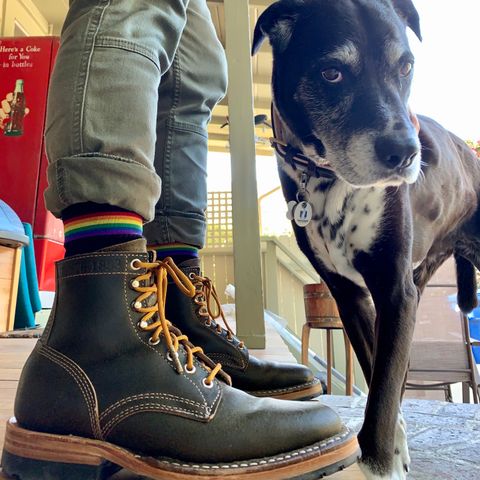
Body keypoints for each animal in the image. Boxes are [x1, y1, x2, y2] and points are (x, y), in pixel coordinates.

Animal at [253, 0, 478, 478]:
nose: (406, 153)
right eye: (332, 72)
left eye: (406, 66)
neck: (326, 178)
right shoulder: (352, 296)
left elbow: (384, 387)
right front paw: (396, 445)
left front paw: (379, 461)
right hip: (420, 280)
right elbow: (381, 374)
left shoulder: (393, 290)